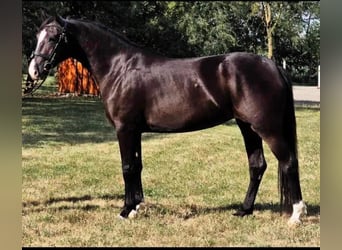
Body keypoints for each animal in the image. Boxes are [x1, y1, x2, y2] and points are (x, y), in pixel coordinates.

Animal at [26, 16, 308, 225]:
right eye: (38, 36)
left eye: (53, 38)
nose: (33, 71)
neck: (119, 68)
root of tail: (272, 66)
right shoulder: (135, 131)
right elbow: (137, 167)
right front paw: (137, 206)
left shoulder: (125, 129)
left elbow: (127, 167)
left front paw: (125, 211)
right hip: (247, 127)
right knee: (257, 165)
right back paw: (244, 210)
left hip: (267, 128)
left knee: (288, 161)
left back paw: (296, 214)